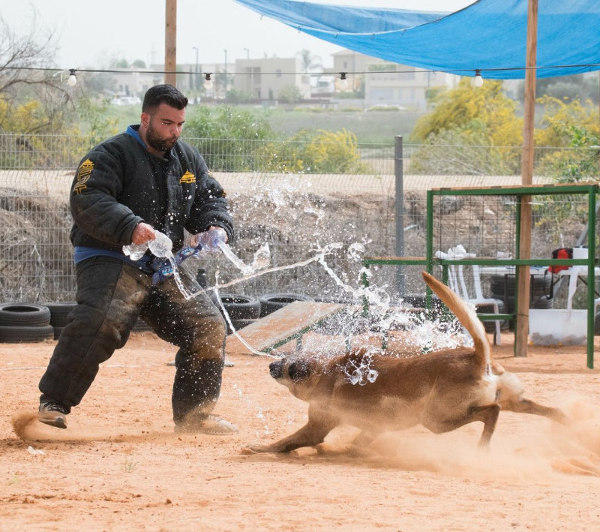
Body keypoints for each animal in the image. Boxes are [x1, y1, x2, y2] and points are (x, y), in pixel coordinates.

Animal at [250, 270, 568, 454]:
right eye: (286, 358)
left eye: (291, 369)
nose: (271, 366)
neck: (325, 372)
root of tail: (477, 356)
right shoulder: (372, 428)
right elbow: (357, 442)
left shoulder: (318, 425)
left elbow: (287, 442)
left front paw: (258, 447)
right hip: (510, 399)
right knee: (543, 410)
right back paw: (568, 426)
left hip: (435, 418)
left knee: (492, 412)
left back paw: (482, 448)